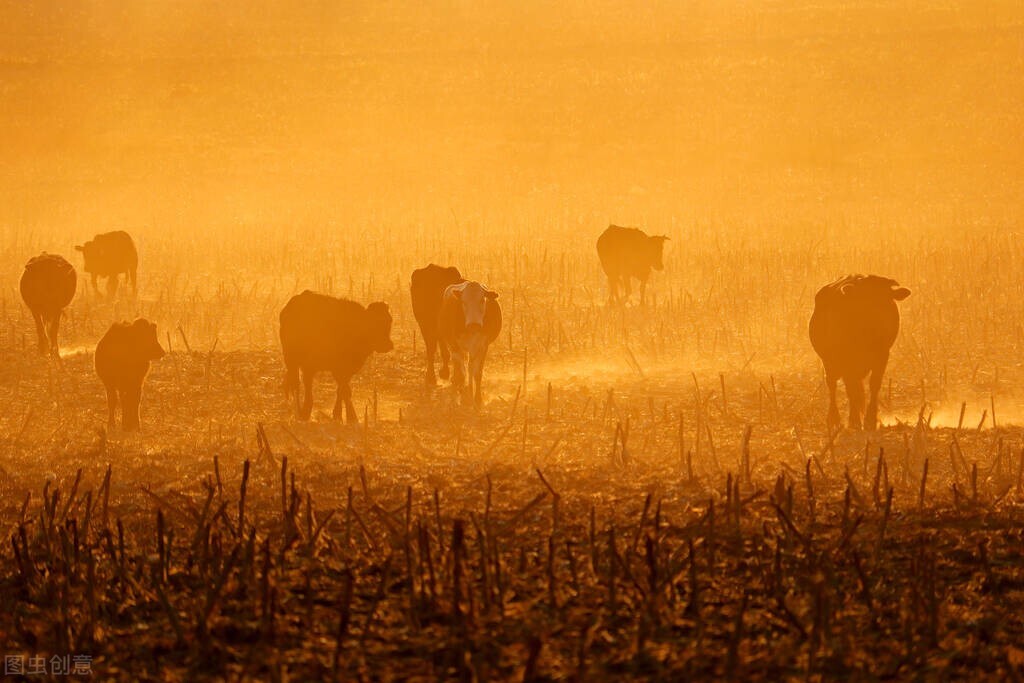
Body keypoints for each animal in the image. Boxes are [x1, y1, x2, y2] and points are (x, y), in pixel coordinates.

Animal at [278, 288, 393, 421]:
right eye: (374, 323)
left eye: (389, 321)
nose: (387, 345)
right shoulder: (338, 369)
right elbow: (345, 390)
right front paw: (351, 417)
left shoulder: (348, 370)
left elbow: (342, 390)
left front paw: (339, 414)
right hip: (292, 361)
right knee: (297, 385)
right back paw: (301, 412)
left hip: (307, 366)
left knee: (306, 384)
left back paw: (306, 410)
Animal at [806, 274, 913, 430]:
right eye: (866, 301)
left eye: (888, 301)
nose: (880, 322)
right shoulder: (846, 360)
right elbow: (851, 390)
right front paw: (855, 421)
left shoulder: (882, 355)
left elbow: (874, 385)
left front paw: (870, 420)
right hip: (829, 362)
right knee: (832, 385)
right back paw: (834, 419)